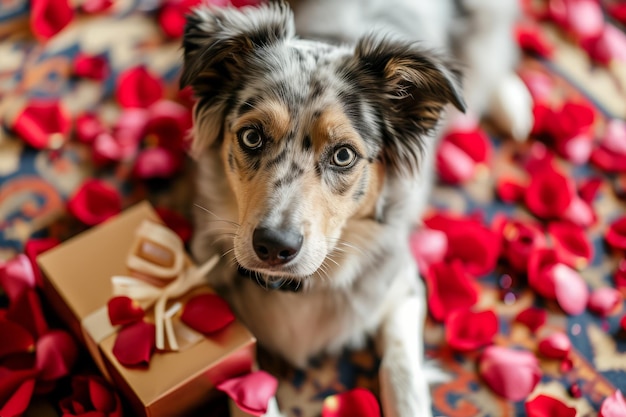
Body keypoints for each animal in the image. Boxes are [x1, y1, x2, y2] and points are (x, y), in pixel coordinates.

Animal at [182, 1, 532, 414]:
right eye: (252, 136)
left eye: (343, 155)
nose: (273, 246)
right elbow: (250, 391)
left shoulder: (403, 286)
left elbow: (401, 370)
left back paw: (514, 104)